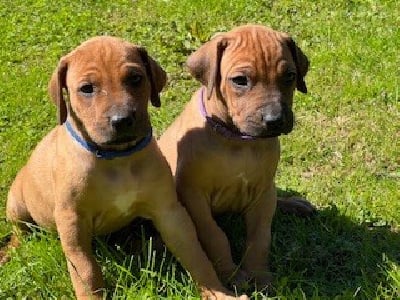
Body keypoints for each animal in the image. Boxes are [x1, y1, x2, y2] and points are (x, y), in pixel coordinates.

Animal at [1, 36, 247, 298]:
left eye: (135, 78)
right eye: (86, 88)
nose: (122, 120)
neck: (118, 159)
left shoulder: (169, 212)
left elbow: (196, 254)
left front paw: (217, 292)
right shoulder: (72, 223)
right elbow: (86, 271)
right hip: (16, 204)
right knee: (19, 231)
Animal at [158, 25, 314, 288]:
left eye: (290, 76)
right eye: (240, 81)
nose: (275, 120)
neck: (237, 141)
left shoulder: (262, 193)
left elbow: (260, 237)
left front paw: (258, 274)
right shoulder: (194, 197)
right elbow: (215, 236)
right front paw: (231, 274)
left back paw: (294, 204)